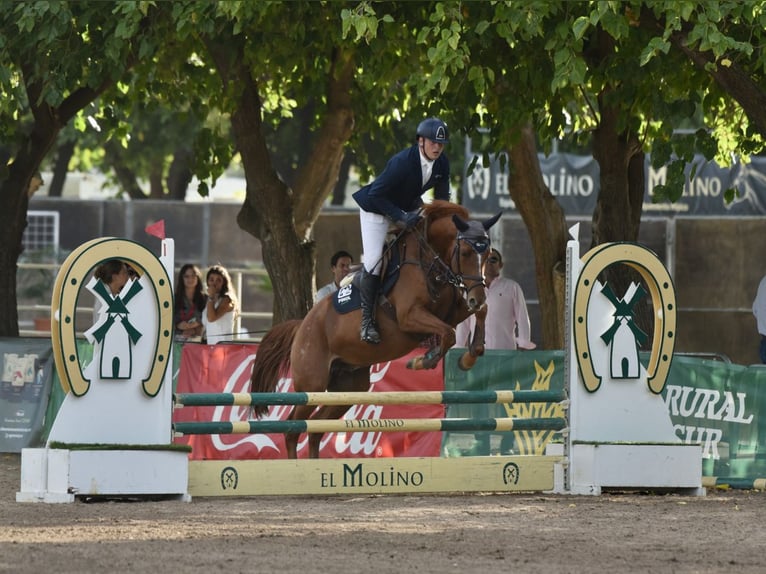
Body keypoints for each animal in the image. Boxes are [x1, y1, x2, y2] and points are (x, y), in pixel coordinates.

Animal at [252, 202, 504, 460]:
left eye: (488, 255)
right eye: (465, 253)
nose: (476, 296)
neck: (428, 261)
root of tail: (302, 326)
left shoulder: (452, 311)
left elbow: (480, 313)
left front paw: (469, 357)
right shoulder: (409, 316)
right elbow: (448, 334)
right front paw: (423, 361)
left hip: (348, 388)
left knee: (316, 428)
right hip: (311, 385)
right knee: (294, 427)